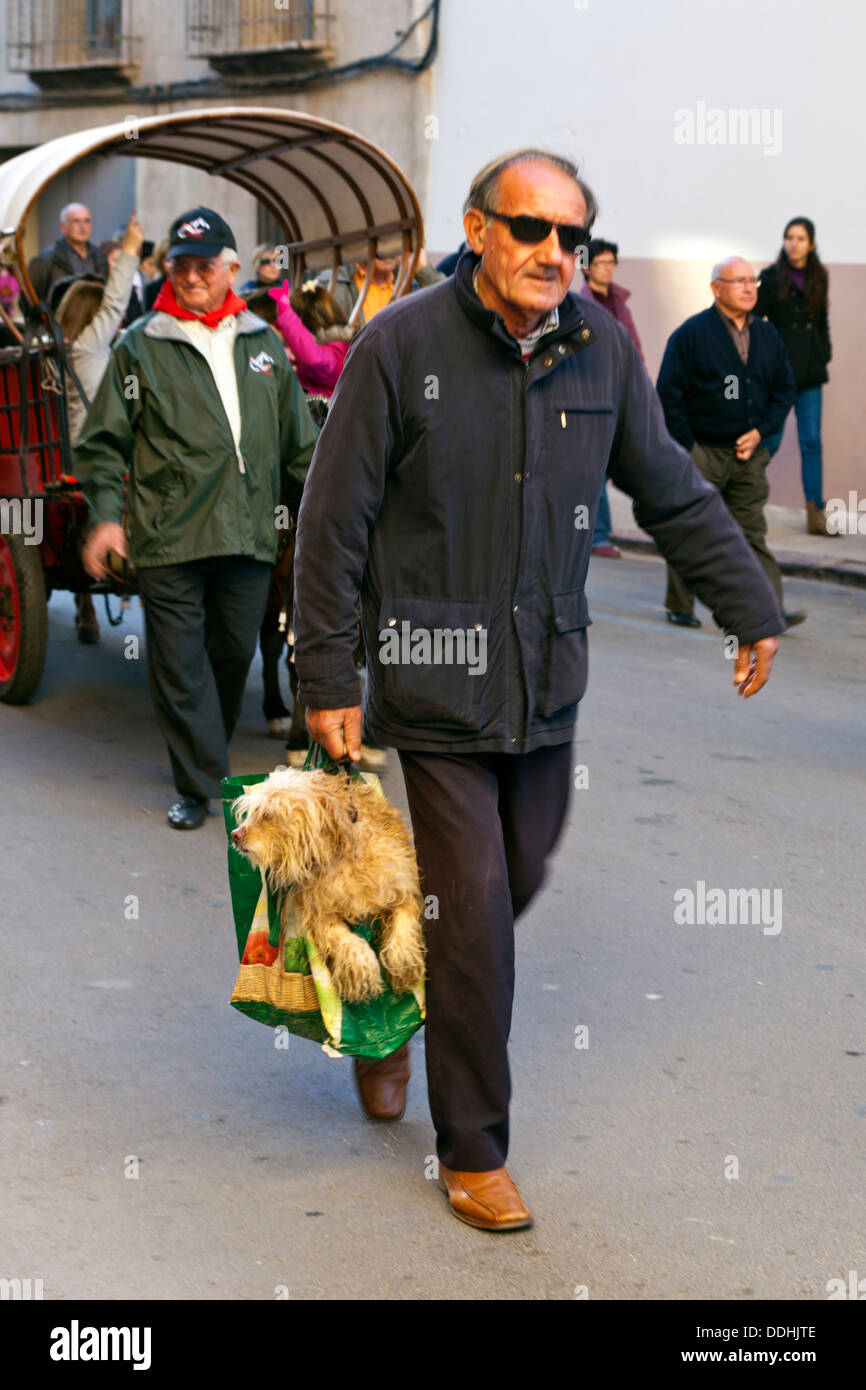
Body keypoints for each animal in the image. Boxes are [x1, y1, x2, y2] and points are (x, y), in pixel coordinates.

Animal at [232, 772, 425, 1000]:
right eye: (253, 812)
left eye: (268, 815)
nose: (235, 835)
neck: (339, 857)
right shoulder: (321, 915)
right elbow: (347, 941)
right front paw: (361, 968)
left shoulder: (401, 889)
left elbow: (402, 924)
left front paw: (403, 963)